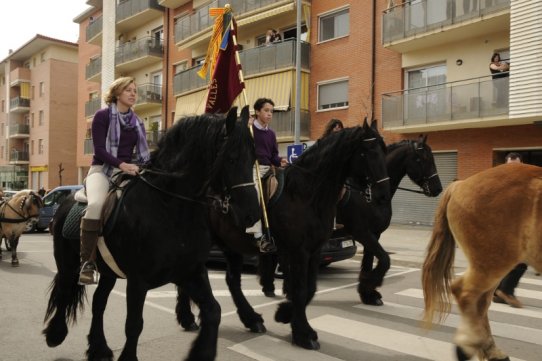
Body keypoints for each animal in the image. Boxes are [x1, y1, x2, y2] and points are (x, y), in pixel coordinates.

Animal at [43, 107, 262, 360]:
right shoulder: (138, 281)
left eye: (254, 158)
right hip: (68, 264)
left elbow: (213, 311)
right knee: (65, 289)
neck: (168, 205)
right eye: (231, 158)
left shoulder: (190, 271)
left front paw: (201, 351)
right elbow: (134, 324)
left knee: (99, 302)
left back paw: (99, 347)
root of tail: (66, 201)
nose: (252, 214)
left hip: (108, 271)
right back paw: (56, 334)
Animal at [181, 120, 394, 348]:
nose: (383, 195)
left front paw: (285, 314)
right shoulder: (299, 251)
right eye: (367, 152)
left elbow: (310, 288)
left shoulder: (314, 250)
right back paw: (191, 317)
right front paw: (303, 333)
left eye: (383, 150)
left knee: (231, 281)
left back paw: (246, 319)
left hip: (230, 244)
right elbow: (300, 289)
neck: (304, 194)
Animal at [424, 163, 542, 360]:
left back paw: (489, 349)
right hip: (493, 262)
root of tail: (460, 184)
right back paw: (469, 344)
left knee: (480, 303)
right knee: (464, 293)